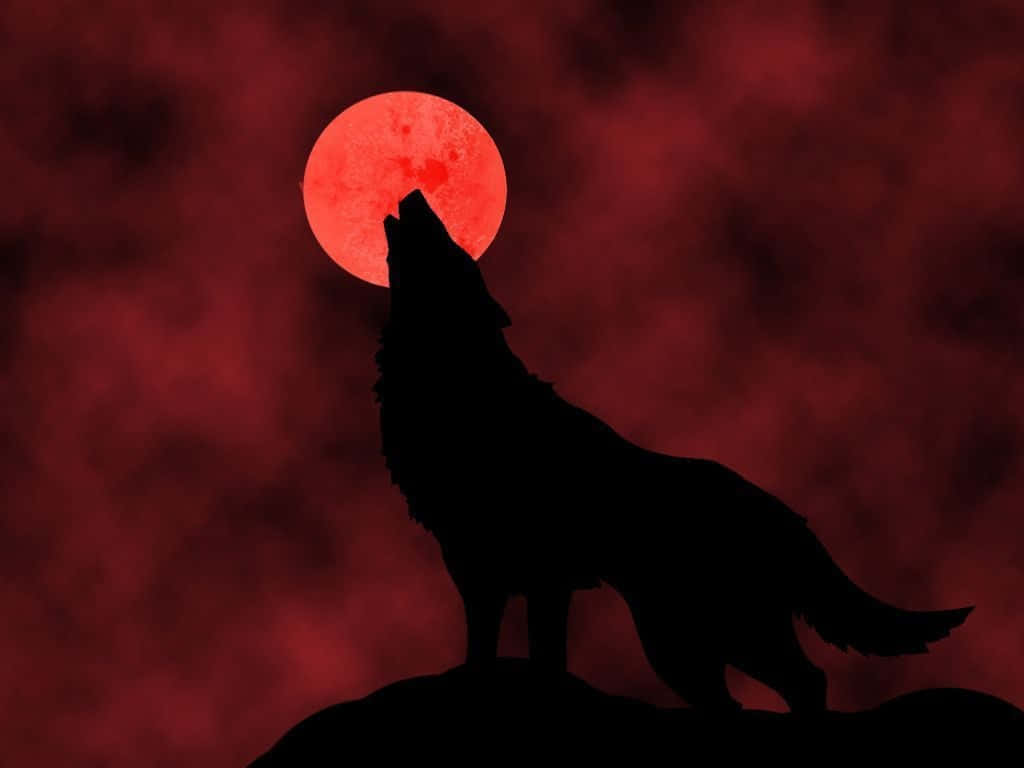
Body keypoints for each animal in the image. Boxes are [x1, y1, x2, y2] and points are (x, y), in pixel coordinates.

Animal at [373, 189, 972, 713]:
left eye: (451, 245)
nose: (418, 194)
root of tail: (788, 516)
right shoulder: (484, 572)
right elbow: (499, 655)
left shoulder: (532, 575)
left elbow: (533, 659)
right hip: (686, 645)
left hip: (705, 635)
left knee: (806, 681)